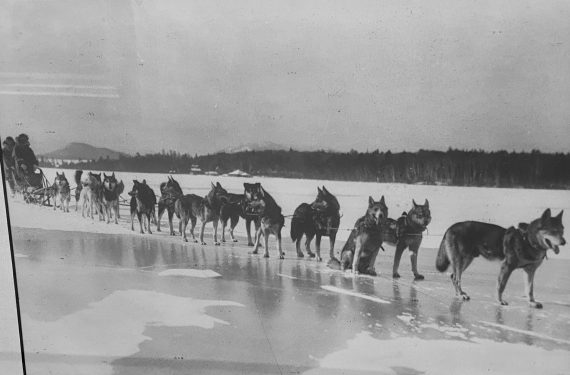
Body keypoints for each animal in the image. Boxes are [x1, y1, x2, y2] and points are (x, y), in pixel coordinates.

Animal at [434, 209, 564, 308]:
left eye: (562, 231)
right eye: (553, 231)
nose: (564, 242)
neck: (527, 240)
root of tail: (450, 227)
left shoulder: (530, 271)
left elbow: (529, 289)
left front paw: (532, 302)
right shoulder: (507, 267)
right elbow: (501, 285)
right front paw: (499, 300)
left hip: (466, 261)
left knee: (453, 276)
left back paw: (458, 294)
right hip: (461, 261)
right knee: (456, 278)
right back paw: (461, 294)